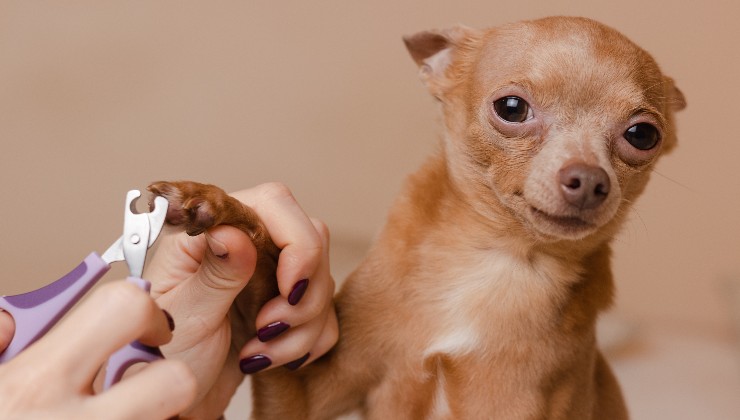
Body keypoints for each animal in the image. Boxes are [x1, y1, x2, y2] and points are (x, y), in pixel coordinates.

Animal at [152, 14, 688, 418]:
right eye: (512, 107)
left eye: (642, 135)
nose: (590, 180)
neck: (495, 259)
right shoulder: (300, 390)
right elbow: (268, 281)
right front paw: (220, 207)